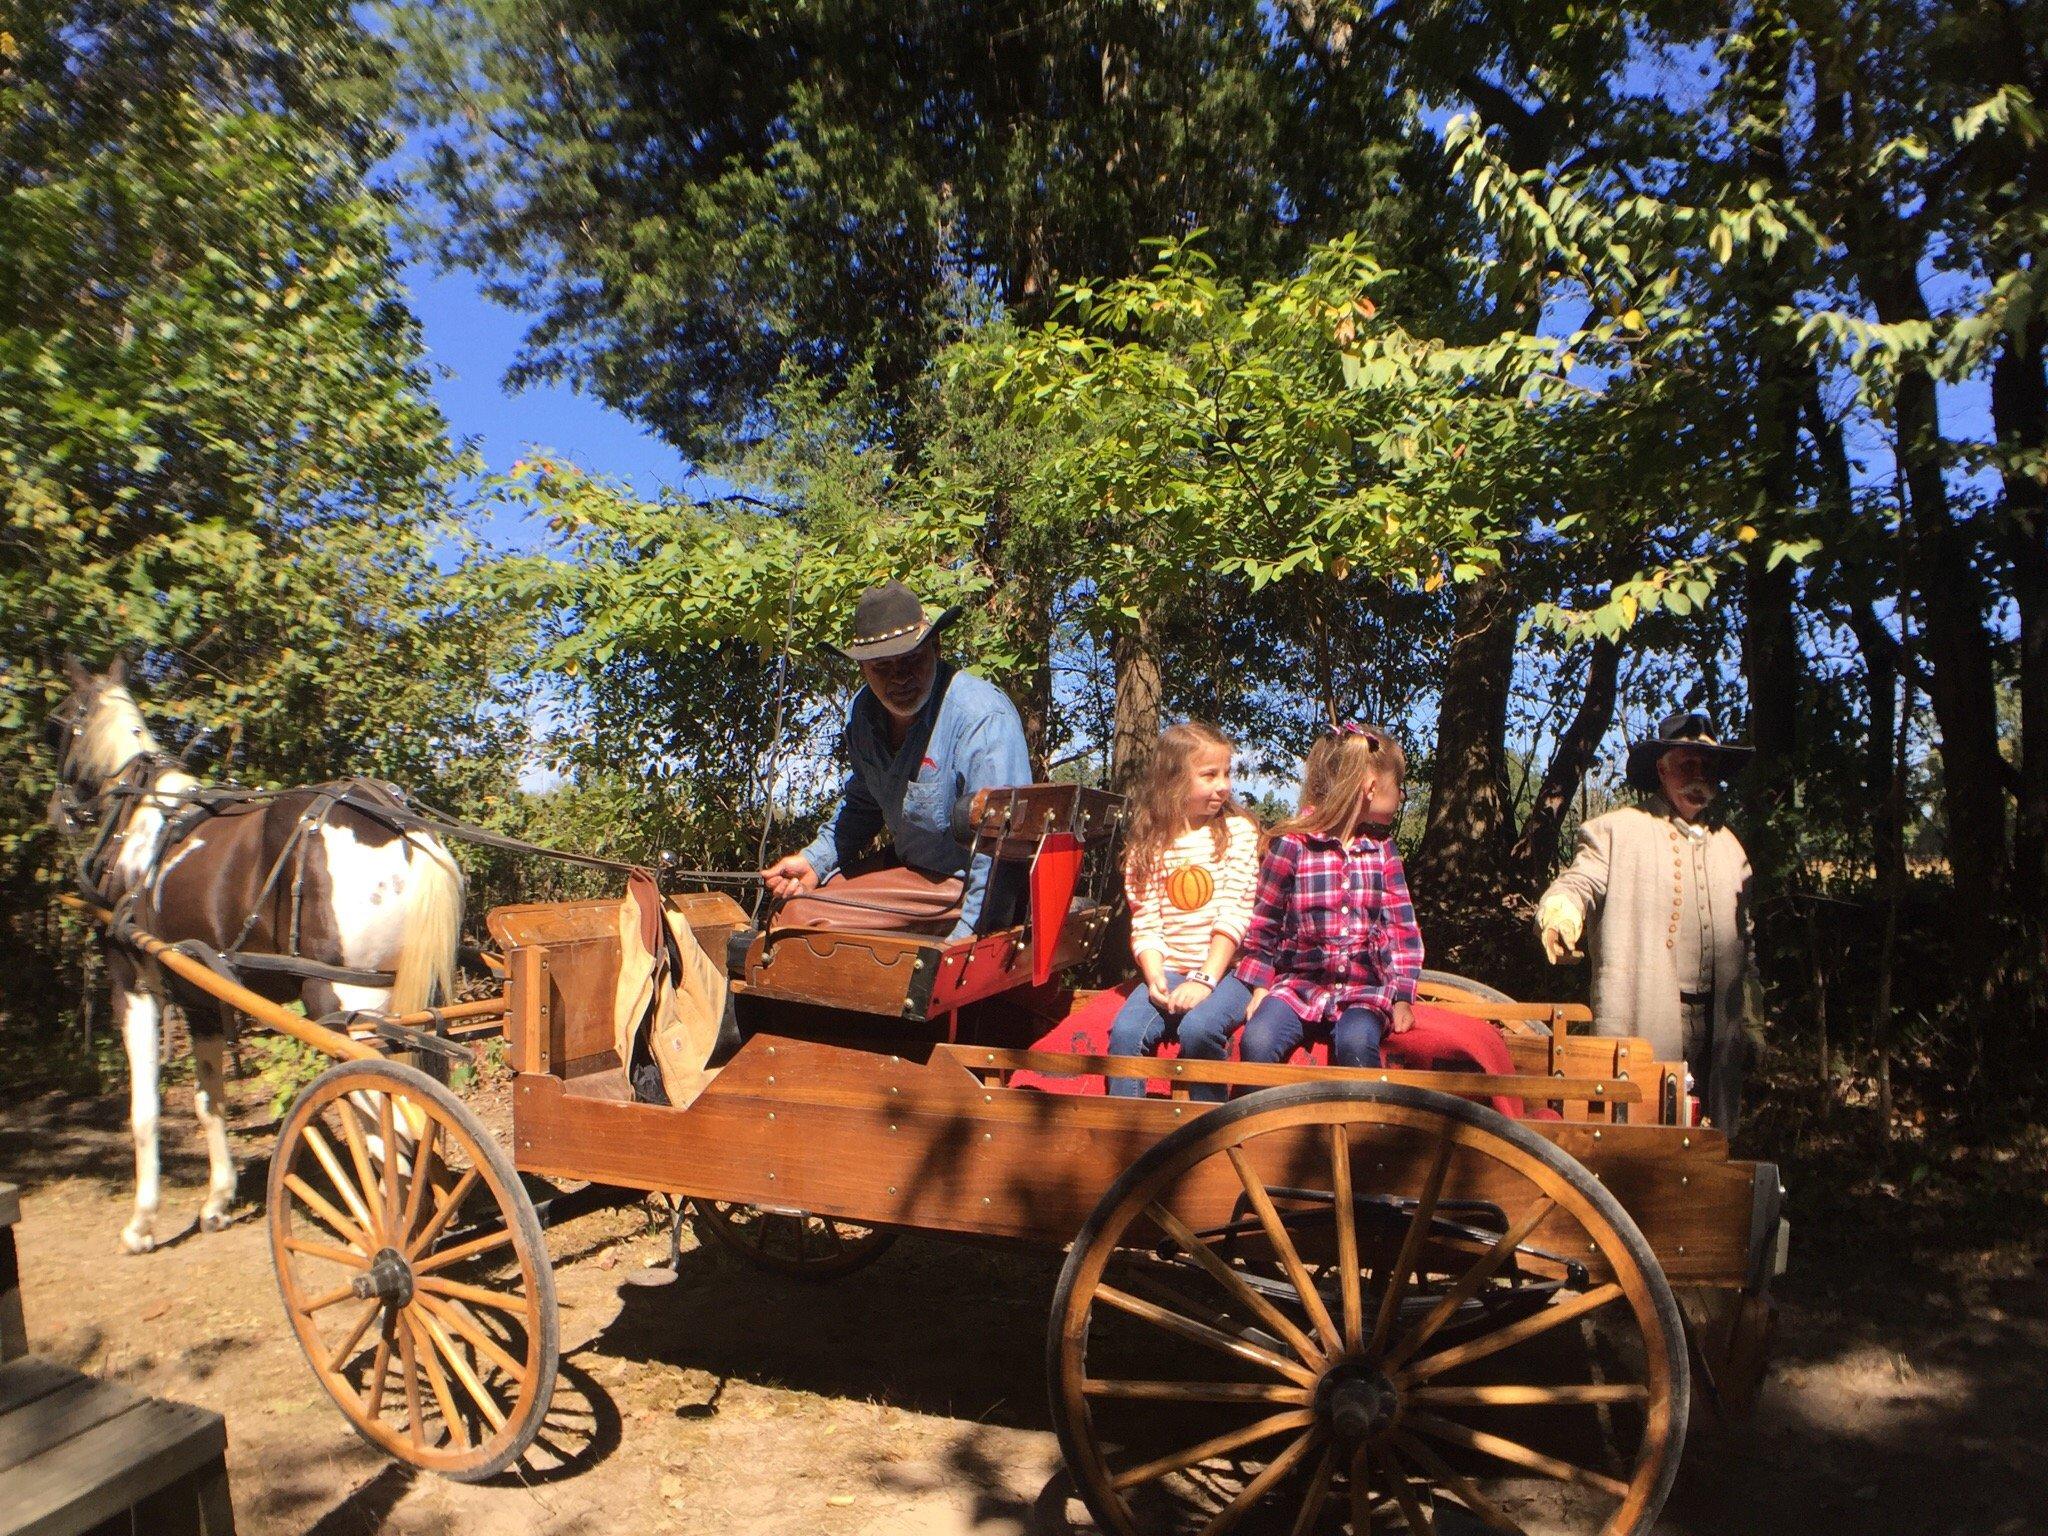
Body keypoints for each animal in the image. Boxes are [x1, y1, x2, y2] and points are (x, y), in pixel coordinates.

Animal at [45, 663, 464, 1253]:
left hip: (342, 1003)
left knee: (388, 1119)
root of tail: (404, 827)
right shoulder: (199, 992)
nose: (58, 810)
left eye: (59, 722)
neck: (140, 816)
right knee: (411, 1114)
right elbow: (210, 1098)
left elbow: (145, 1111)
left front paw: (141, 1224)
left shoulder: (134, 980)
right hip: (405, 1003)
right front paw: (217, 1202)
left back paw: (388, 1236)